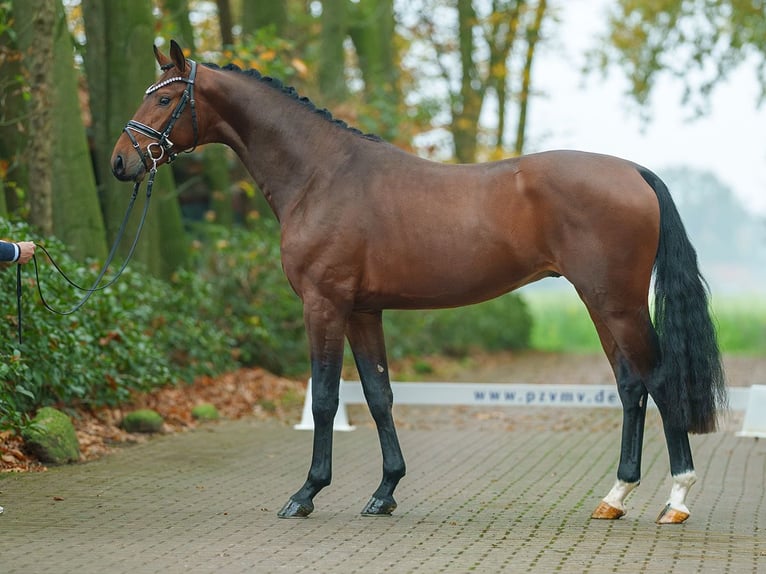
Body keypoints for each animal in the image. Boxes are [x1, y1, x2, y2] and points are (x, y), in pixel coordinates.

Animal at [111, 40, 728, 528]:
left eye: (165, 98)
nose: (121, 163)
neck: (320, 175)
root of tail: (634, 172)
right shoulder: (363, 311)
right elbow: (379, 395)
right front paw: (385, 491)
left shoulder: (324, 305)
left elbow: (327, 396)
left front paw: (306, 493)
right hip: (602, 304)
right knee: (631, 386)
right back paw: (615, 497)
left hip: (616, 302)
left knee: (659, 380)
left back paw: (676, 499)